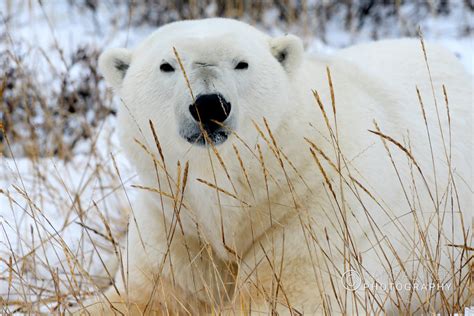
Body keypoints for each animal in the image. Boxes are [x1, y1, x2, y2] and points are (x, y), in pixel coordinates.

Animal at [83, 18, 472, 314]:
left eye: (242, 63)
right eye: (166, 65)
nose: (209, 105)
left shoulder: (312, 211)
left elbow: (285, 296)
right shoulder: (175, 221)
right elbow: (144, 294)